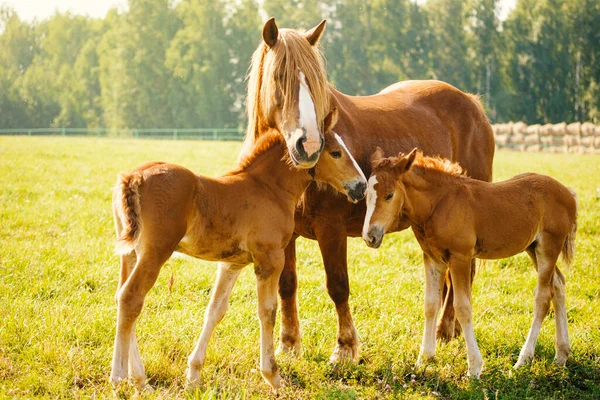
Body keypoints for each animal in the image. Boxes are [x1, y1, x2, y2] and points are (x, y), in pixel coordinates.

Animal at [110, 110, 368, 390]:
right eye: (335, 152)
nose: (361, 186)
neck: (268, 188)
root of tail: (133, 177)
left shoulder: (232, 263)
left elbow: (215, 311)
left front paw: (193, 375)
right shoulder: (269, 260)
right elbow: (267, 311)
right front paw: (273, 376)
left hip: (130, 253)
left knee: (122, 297)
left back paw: (139, 380)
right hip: (155, 252)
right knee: (131, 297)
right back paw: (120, 377)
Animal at [240, 18, 496, 362]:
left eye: (316, 82)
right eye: (279, 78)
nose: (309, 146)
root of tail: (472, 102)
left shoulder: (331, 229)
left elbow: (337, 285)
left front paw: (345, 348)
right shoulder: (284, 232)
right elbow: (287, 285)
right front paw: (289, 345)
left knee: (461, 276)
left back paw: (444, 331)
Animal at [360, 148, 576, 378]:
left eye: (389, 195)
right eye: (366, 195)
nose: (370, 236)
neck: (439, 203)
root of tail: (568, 193)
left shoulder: (460, 257)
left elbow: (462, 307)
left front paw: (474, 367)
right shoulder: (432, 258)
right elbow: (430, 305)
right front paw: (425, 358)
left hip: (548, 247)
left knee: (543, 297)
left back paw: (523, 359)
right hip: (533, 248)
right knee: (558, 284)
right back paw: (561, 355)